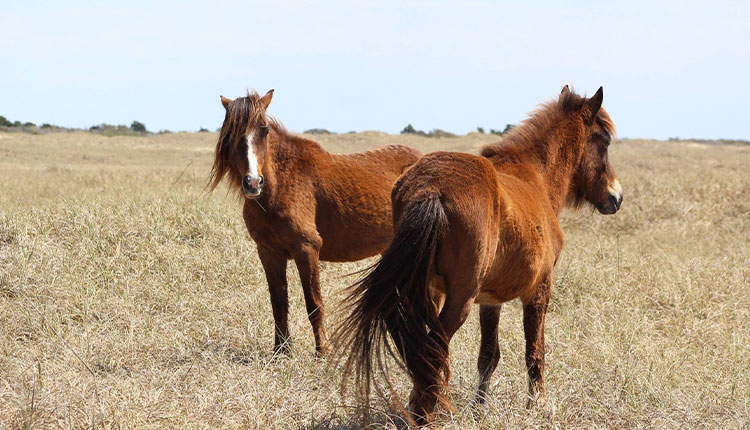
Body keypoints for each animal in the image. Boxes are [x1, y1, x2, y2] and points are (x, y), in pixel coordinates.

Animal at [212, 90, 424, 356]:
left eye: (264, 130)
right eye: (230, 133)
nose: (253, 183)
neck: (282, 183)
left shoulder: (306, 249)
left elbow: (314, 303)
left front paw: (323, 349)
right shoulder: (269, 253)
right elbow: (278, 303)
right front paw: (281, 350)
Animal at [338, 85, 624, 424]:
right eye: (604, 142)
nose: (616, 197)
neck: (536, 177)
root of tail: (431, 189)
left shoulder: (490, 300)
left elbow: (488, 355)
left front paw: (479, 407)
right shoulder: (540, 289)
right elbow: (535, 351)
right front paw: (538, 405)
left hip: (425, 291)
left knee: (426, 349)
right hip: (460, 298)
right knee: (434, 348)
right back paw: (427, 412)